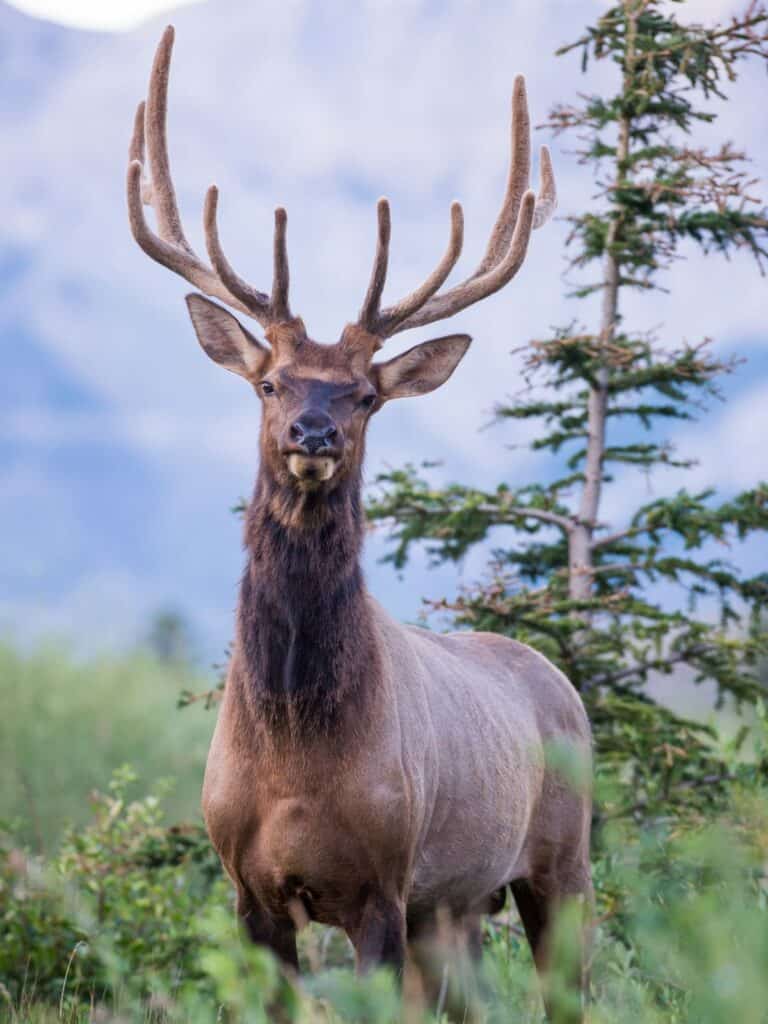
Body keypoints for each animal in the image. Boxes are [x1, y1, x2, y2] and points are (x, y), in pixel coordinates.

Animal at [127, 26, 592, 1022]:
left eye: (368, 396)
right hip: (454, 907)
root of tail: (556, 677)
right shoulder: (249, 890)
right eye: (269, 383)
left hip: (559, 862)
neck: (297, 756)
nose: (315, 434)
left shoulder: (382, 879)